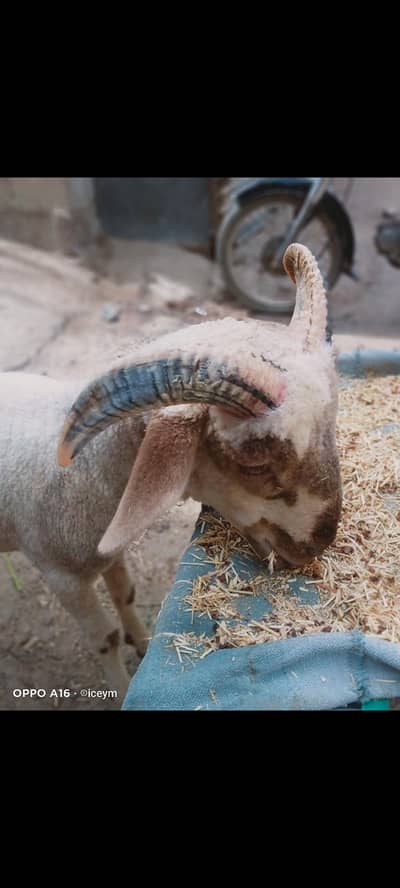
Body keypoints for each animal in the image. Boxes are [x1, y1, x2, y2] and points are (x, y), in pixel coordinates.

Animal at [0, 244, 342, 698]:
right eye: (254, 464)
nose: (315, 547)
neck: (84, 476)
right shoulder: (62, 576)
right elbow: (105, 639)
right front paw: (121, 690)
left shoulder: (108, 552)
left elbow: (126, 595)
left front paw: (143, 644)